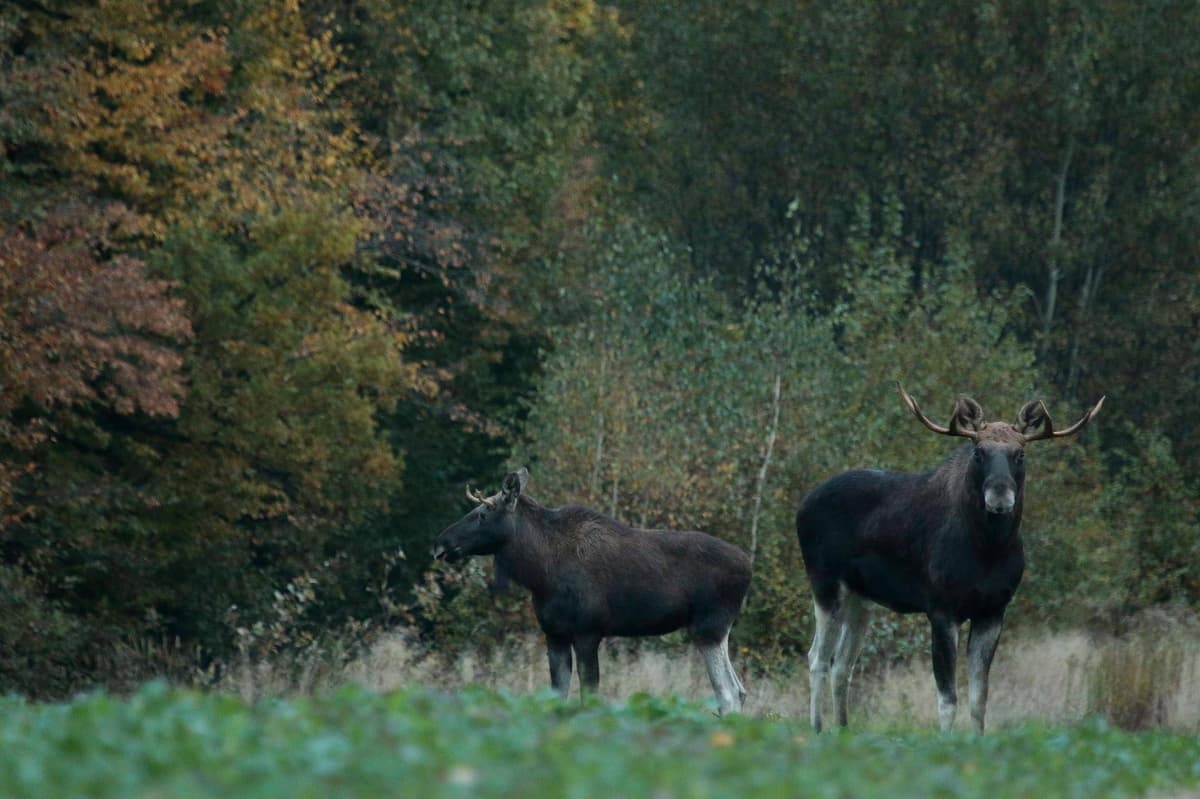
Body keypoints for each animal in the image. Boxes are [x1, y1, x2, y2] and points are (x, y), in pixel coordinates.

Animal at [432, 463, 748, 710]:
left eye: (482, 514)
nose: (440, 544)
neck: (540, 573)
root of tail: (749, 566)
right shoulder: (554, 634)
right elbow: (558, 695)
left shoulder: (588, 633)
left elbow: (589, 696)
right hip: (717, 630)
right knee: (741, 690)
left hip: (708, 627)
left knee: (729, 694)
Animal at [796, 383, 1104, 729]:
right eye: (978, 452)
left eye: (1020, 454)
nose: (1000, 494)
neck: (988, 551)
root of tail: (801, 506)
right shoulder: (941, 609)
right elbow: (947, 699)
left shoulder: (993, 611)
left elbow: (979, 698)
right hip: (825, 585)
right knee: (817, 657)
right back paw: (818, 730)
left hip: (860, 599)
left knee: (842, 665)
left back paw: (843, 730)